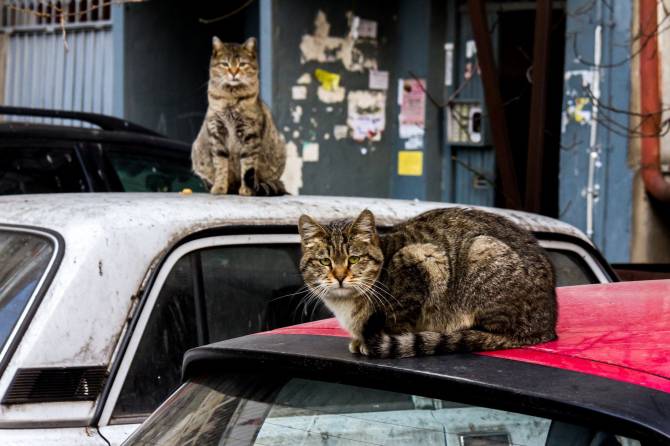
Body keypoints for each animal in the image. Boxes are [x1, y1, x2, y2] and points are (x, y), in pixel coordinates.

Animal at [194, 34, 288, 195]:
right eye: (225, 64)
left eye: (242, 64)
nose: (233, 72)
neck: (230, 99)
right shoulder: (216, 132)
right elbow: (220, 165)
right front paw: (220, 187)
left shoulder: (250, 134)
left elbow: (247, 164)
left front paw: (246, 190)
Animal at [302, 207, 560, 358]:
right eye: (325, 261)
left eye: (354, 259)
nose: (340, 276)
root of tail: (545, 328)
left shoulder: (423, 259)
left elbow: (397, 321)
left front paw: (373, 341)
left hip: (482, 249)